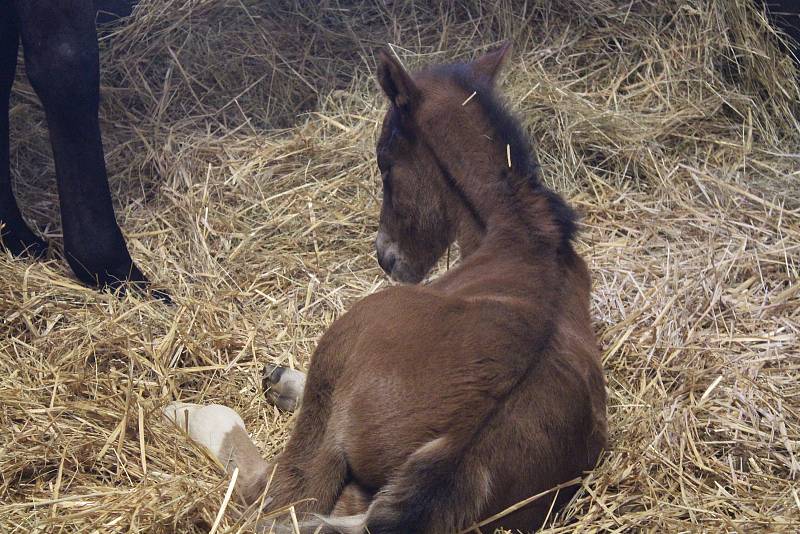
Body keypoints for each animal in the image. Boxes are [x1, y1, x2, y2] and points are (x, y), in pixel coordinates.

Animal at [164, 46, 608, 534]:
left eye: (384, 161)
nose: (385, 256)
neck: (527, 238)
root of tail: (460, 445)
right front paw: (281, 380)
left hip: (340, 355)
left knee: (272, 498)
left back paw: (188, 412)